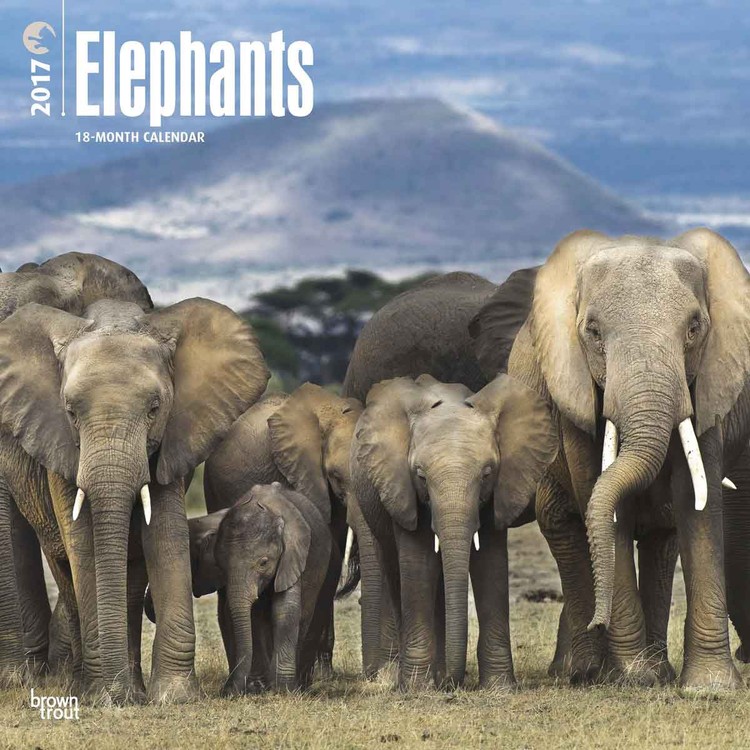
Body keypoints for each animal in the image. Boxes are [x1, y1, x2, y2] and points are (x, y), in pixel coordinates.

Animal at [0, 296, 270, 703]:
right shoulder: (58, 444)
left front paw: (174, 697)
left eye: (154, 409)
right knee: (65, 568)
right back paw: (85, 685)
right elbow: (84, 543)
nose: (116, 696)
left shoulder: (172, 440)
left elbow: (165, 535)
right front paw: (106, 695)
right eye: (71, 412)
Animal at [147, 483, 337, 695]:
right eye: (221, 566)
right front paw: (257, 688)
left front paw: (283, 690)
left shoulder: (293, 556)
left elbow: (285, 610)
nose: (225, 692)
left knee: (304, 614)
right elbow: (249, 617)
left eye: (264, 563)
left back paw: (297, 685)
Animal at [351, 373, 557, 689]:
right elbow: (418, 564)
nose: (455, 681)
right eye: (421, 476)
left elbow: (491, 566)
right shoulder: (403, 488)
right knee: (396, 571)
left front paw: (499, 688)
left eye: (487, 474)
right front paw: (416, 689)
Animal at [471, 228, 750, 691]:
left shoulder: (711, 383)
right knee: (566, 529)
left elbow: (698, 504)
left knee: (661, 540)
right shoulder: (573, 390)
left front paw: (708, 687)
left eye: (694, 328)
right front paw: (634, 676)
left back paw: (653, 667)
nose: (599, 622)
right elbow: (598, 499)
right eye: (594, 331)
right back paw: (585, 670)